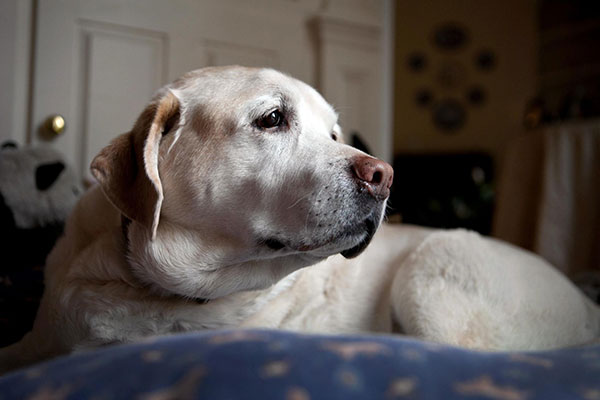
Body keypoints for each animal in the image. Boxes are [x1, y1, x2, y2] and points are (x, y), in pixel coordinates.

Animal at [1, 65, 600, 372]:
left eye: (334, 133)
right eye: (271, 118)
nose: (384, 175)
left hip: (432, 268)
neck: (158, 295)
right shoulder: (39, 342)